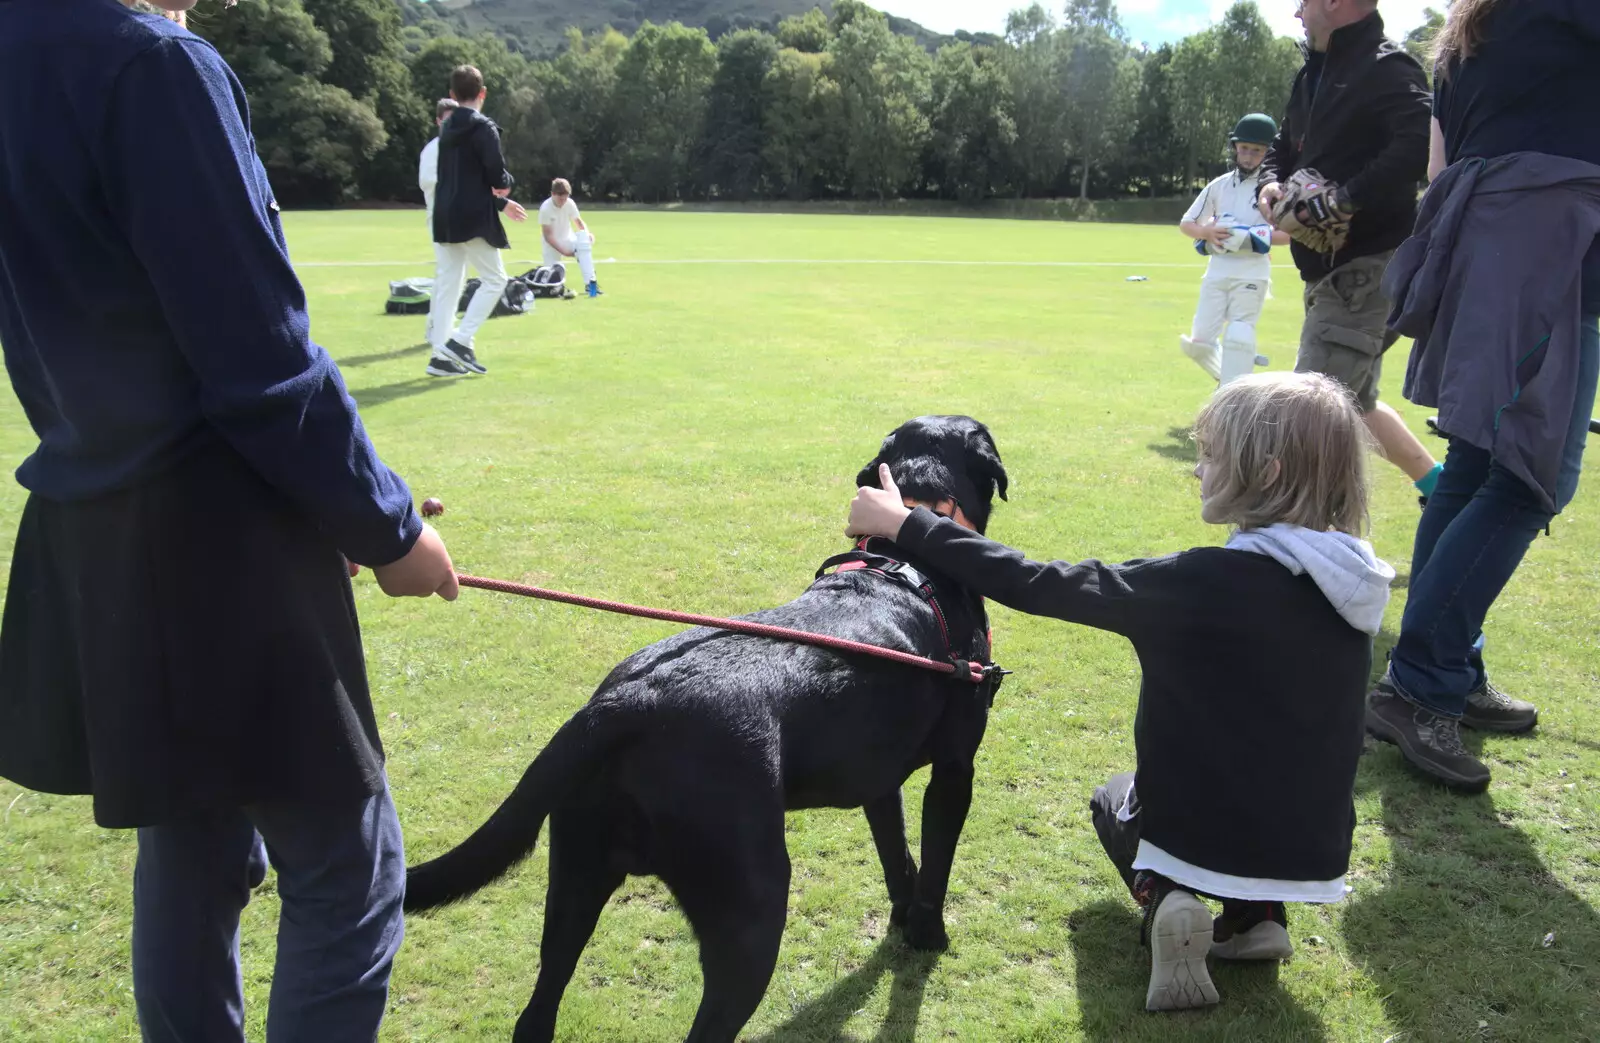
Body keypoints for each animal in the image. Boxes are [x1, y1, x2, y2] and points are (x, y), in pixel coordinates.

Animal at [406, 415, 1017, 1043]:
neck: (904, 551)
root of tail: (625, 703)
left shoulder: (878, 782)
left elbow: (898, 858)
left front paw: (903, 920)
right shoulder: (954, 770)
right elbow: (935, 864)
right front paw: (928, 936)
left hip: (575, 880)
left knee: (537, 1010)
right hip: (753, 909)